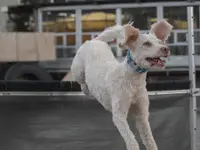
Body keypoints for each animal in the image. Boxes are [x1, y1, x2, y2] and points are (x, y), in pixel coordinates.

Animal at [69, 19, 173, 150]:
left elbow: (149, 139)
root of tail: (95, 41)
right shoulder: (119, 115)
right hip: (78, 70)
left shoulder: (142, 114)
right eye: (147, 44)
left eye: (160, 42)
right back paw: (87, 90)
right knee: (82, 83)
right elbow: (130, 139)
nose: (166, 49)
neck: (133, 81)